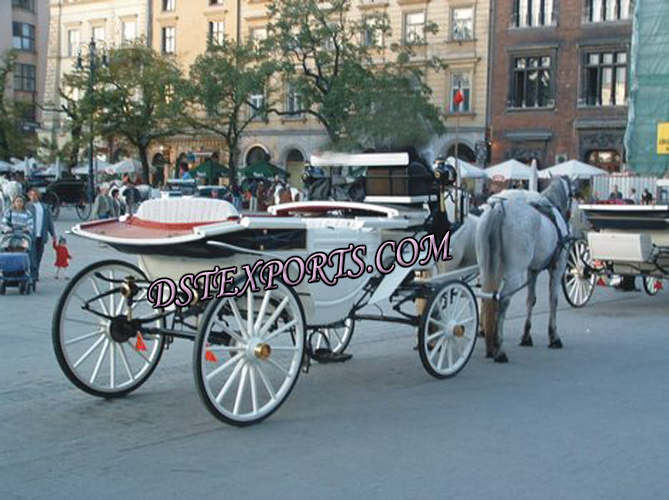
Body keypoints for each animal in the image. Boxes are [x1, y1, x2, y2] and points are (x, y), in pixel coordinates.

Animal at [474, 178, 576, 362]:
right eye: (573, 193)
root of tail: (500, 207)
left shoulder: (533, 270)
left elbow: (531, 300)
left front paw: (526, 336)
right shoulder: (558, 268)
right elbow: (553, 300)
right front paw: (553, 336)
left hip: (487, 268)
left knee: (487, 297)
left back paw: (489, 343)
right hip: (515, 273)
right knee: (503, 300)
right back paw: (499, 349)